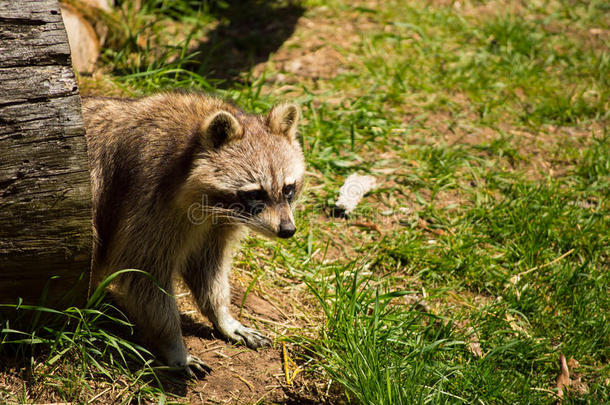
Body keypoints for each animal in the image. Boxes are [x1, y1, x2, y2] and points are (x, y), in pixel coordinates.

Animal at [82, 90, 304, 372]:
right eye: (255, 194)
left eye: (288, 189)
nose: (287, 230)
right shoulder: (149, 195)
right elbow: (143, 272)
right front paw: (172, 342)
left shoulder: (216, 223)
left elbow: (206, 265)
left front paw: (221, 313)